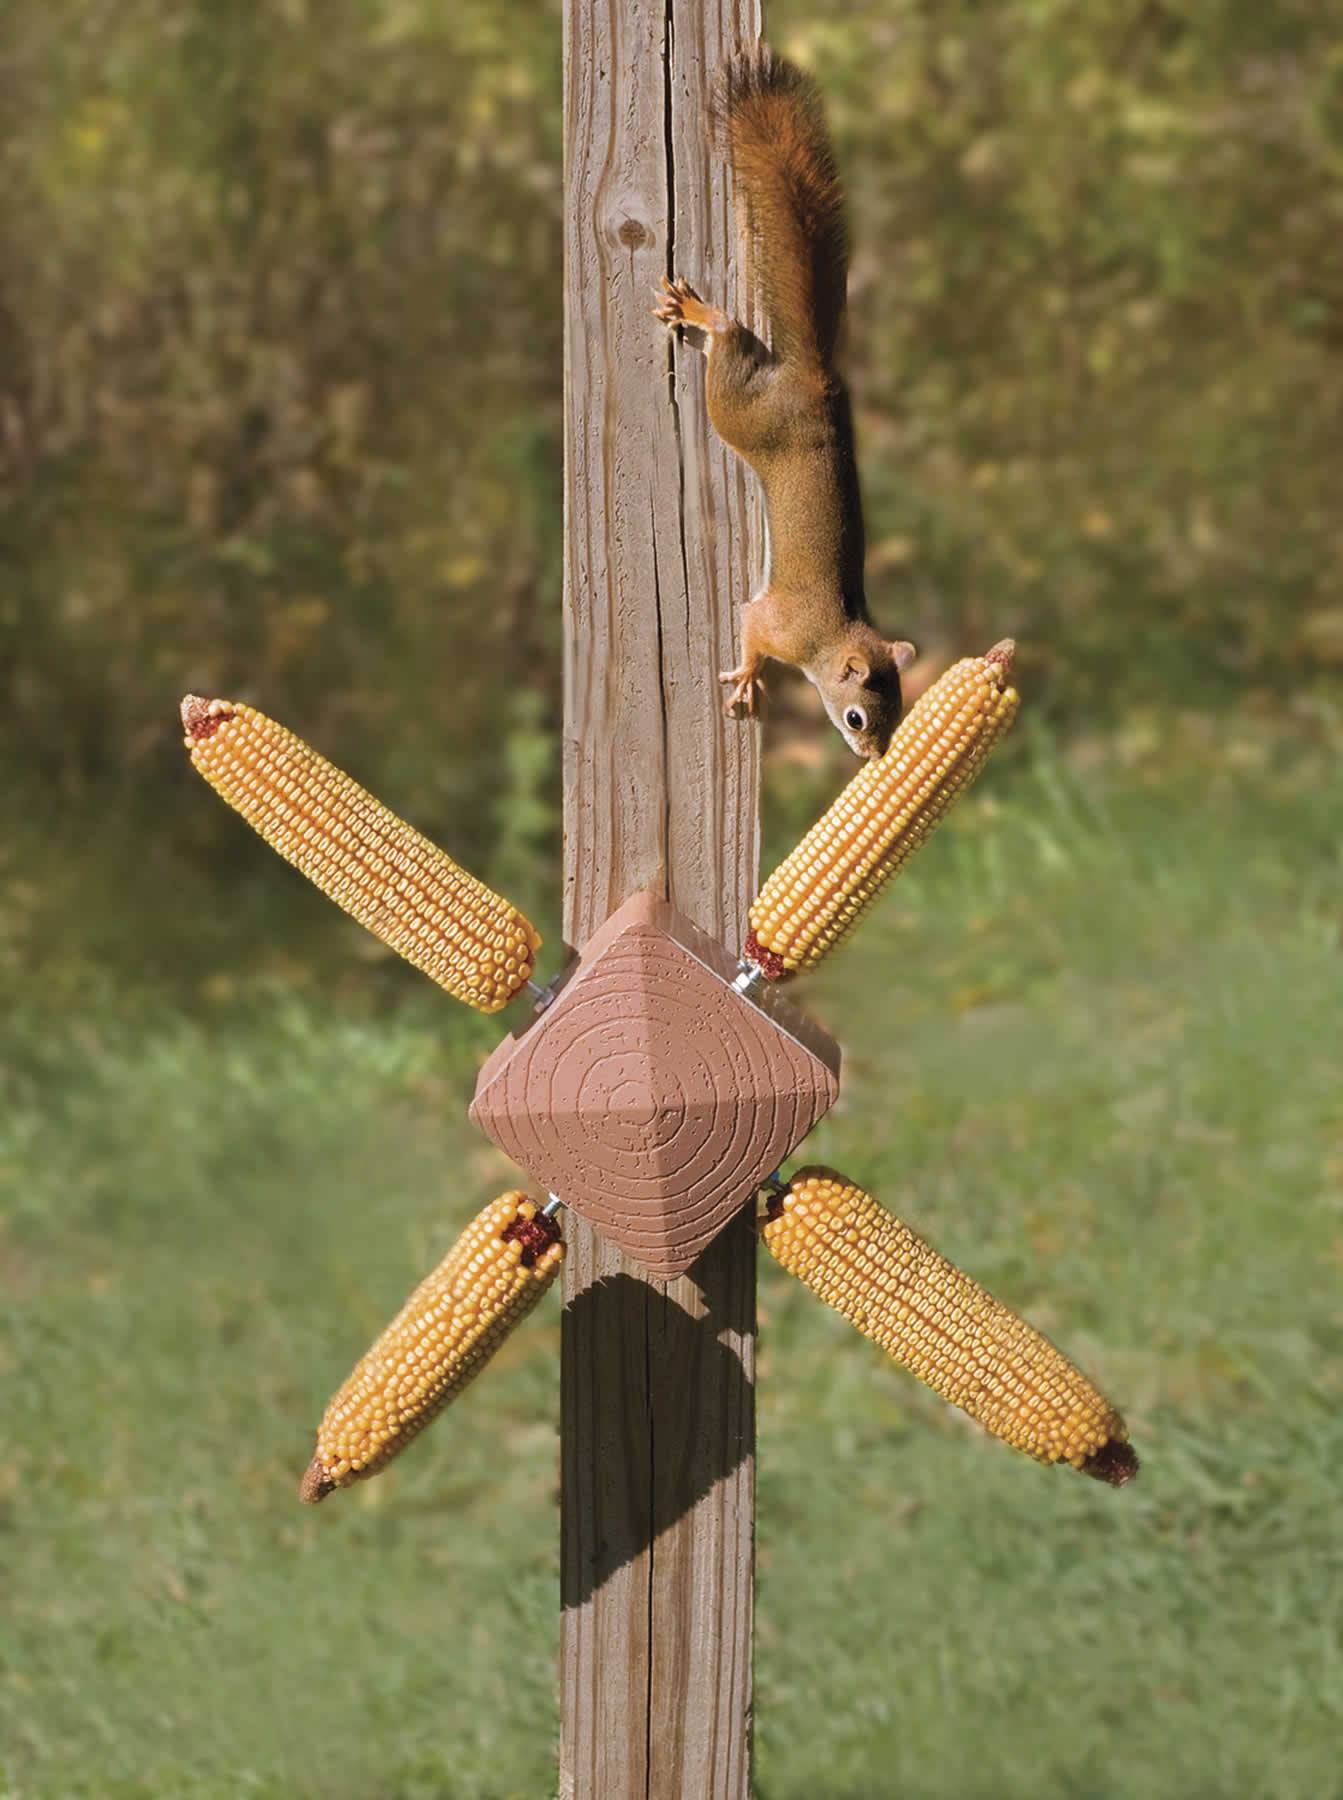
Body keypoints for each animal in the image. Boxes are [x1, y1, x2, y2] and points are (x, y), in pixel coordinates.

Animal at [655, 45, 915, 760]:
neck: (832, 638)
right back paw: (703, 316)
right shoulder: (775, 622)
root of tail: (818, 384)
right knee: (727, 343)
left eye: (900, 715)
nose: (874, 758)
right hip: (739, 417)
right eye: (857, 718)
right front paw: (747, 675)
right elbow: (749, 627)